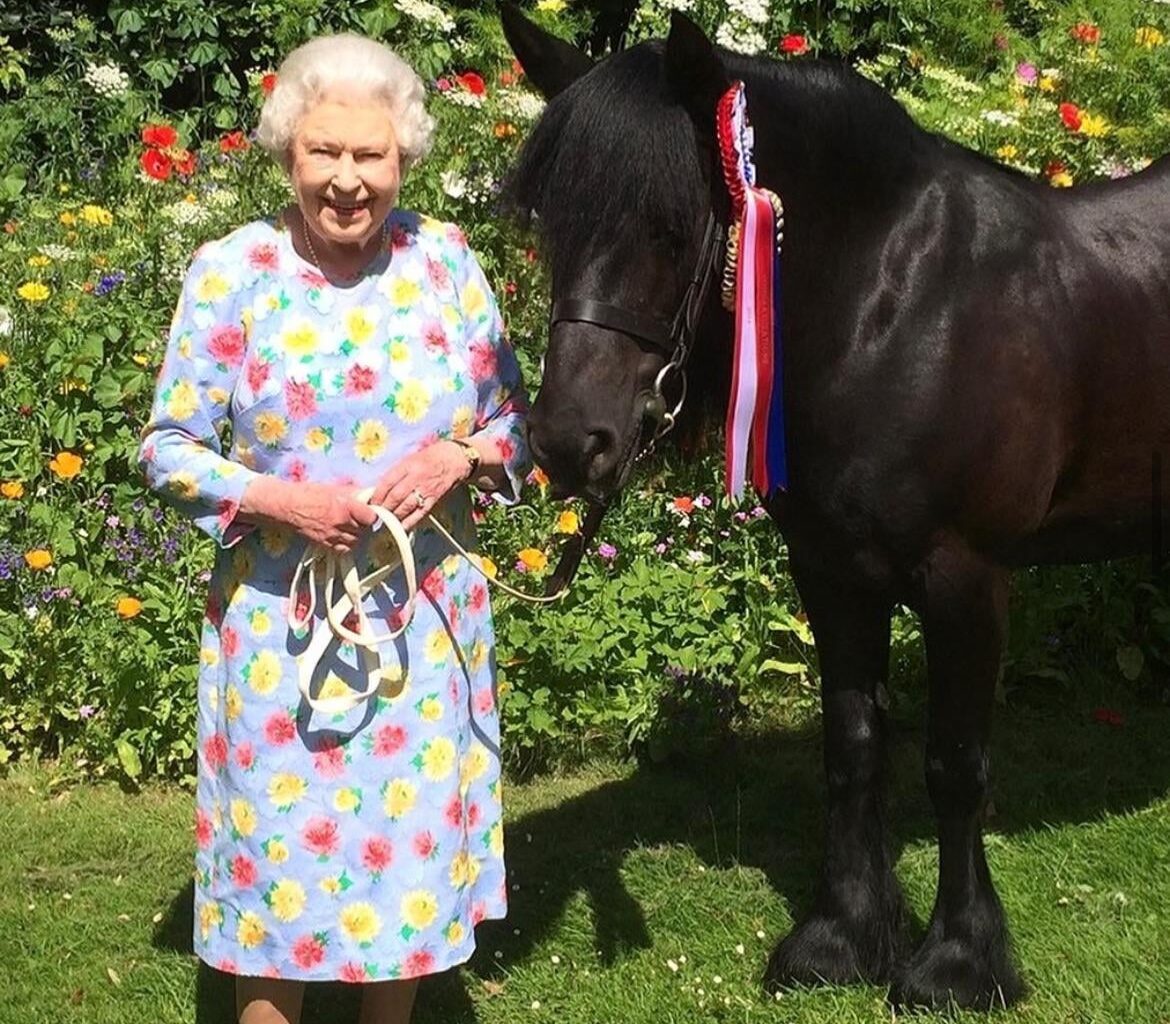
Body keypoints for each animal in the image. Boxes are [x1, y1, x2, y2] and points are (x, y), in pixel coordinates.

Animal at [498, 2, 1170, 1015]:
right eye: (550, 220)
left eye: (670, 227)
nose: (570, 443)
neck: (901, 307)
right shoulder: (831, 569)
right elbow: (853, 747)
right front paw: (840, 942)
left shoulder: (966, 577)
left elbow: (954, 766)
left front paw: (956, 963)